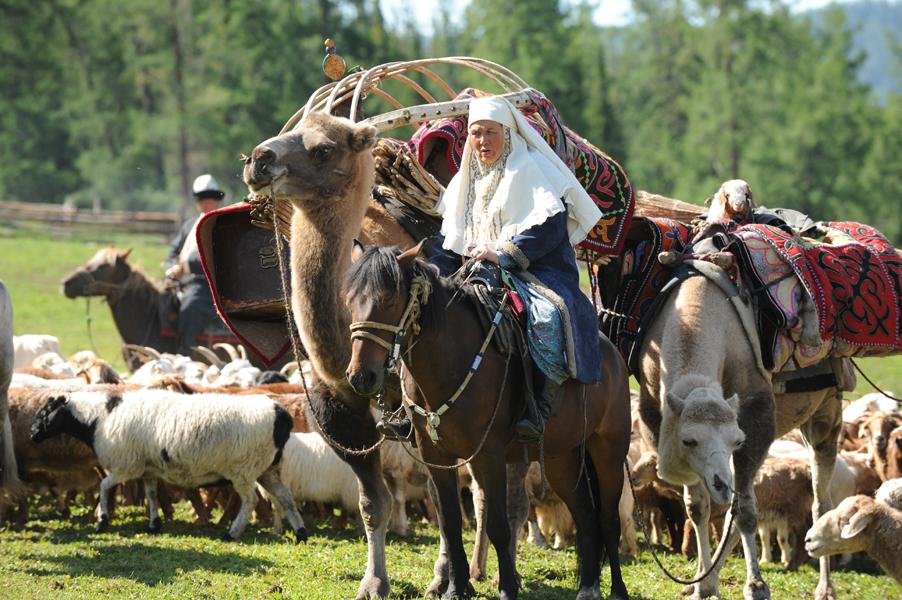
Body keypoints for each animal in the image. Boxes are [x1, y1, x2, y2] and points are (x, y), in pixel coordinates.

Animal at [29, 386, 308, 540]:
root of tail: (280, 415)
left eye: (47, 412)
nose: (32, 434)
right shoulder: (147, 469)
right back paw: (300, 533)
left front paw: (102, 521)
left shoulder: (124, 466)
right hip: (268, 469)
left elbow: (104, 487)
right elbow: (152, 494)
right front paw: (154, 524)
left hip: (244, 469)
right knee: (286, 498)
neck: (100, 418)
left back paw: (231, 534)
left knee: (250, 501)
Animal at [342, 245, 632, 600]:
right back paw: (588, 587)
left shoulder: (488, 455)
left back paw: (617, 590)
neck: (451, 362)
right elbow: (450, 523)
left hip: (609, 451)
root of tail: (613, 356)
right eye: (350, 301)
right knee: (586, 516)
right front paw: (455, 587)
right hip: (561, 458)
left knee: (608, 520)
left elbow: (498, 525)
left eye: (389, 302)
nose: (361, 377)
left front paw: (507, 588)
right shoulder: (436, 457)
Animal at [640, 270, 860, 600]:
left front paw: (755, 585)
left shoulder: (755, 419)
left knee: (820, 502)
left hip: (826, 413)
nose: (721, 483)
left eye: (736, 440)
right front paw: (702, 585)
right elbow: (697, 507)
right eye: (689, 440)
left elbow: (744, 511)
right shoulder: (655, 416)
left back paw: (825, 588)